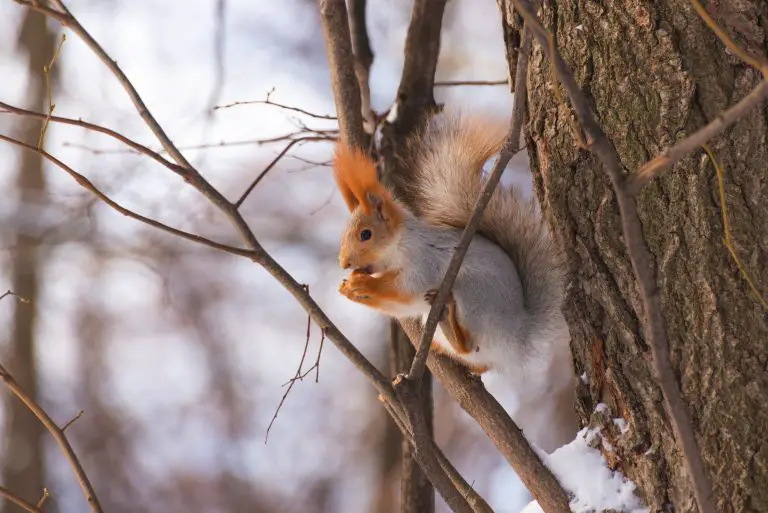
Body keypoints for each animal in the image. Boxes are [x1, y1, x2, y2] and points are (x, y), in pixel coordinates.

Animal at [332, 110, 576, 450]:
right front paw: (351, 287)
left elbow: (403, 292)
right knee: (477, 359)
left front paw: (361, 286)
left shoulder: (423, 266)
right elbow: (398, 308)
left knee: (469, 343)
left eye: (365, 234)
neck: (401, 246)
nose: (344, 263)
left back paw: (450, 321)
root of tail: (520, 336)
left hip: (473, 300)